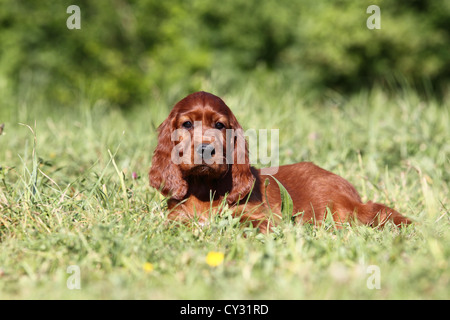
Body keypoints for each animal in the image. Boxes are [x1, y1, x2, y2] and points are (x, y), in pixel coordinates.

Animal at [149, 91, 412, 231]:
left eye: (220, 125)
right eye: (187, 124)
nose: (205, 149)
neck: (204, 187)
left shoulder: (261, 217)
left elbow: (245, 222)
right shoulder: (176, 217)